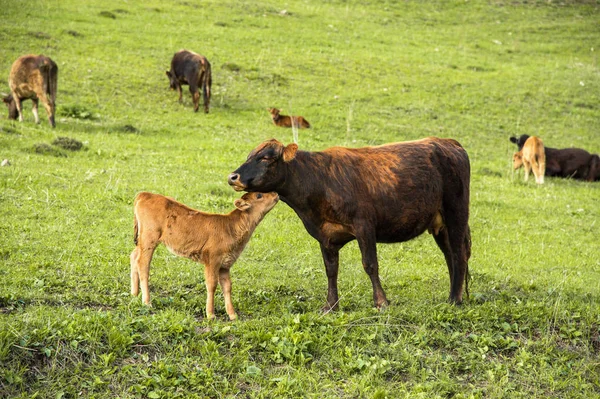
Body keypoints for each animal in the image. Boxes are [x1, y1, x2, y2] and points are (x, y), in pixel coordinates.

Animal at [129, 192, 278, 320]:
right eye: (259, 195)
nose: (276, 194)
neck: (231, 227)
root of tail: (146, 194)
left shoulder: (225, 264)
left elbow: (227, 287)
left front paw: (232, 315)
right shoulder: (212, 260)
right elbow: (212, 285)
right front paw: (210, 314)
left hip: (142, 240)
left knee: (134, 256)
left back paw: (134, 294)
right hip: (149, 238)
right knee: (143, 264)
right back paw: (146, 302)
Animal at [227, 138, 472, 312]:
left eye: (266, 158)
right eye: (250, 156)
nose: (233, 176)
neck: (318, 181)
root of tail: (448, 142)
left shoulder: (364, 226)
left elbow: (370, 265)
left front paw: (381, 302)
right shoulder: (325, 235)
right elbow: (331, 270)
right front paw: (331, 305)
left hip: (456, 213)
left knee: (459, 255)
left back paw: (454, 299)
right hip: (440, 224)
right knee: (450, 256)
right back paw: (455, 295)